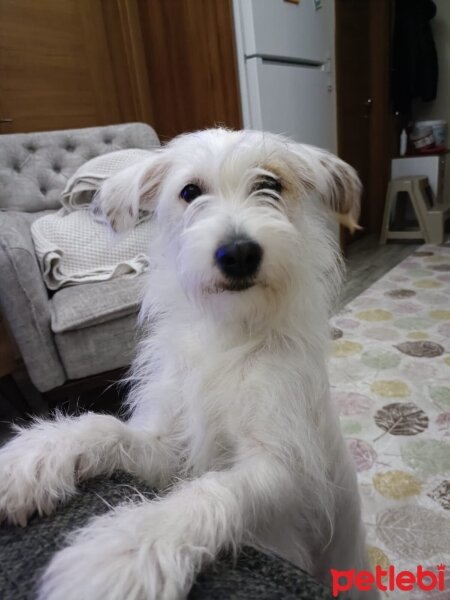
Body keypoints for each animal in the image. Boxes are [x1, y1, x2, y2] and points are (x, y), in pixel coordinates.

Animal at [0, 130, 378, 600]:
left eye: (270, 184)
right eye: (190, 192)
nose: (238, 253)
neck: (229, 330)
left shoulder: (287, 471)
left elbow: (213, 489)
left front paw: (123, 552)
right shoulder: (169, 448)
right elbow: (107, 429)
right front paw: (31, 458)